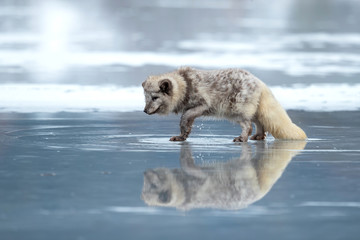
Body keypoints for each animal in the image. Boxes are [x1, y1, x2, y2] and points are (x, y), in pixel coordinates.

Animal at [142, 66, 306, 142]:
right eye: (146, 98)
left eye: (155, 97)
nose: (144, 111)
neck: (185, 84)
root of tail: (259, 82)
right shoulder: (194, 110)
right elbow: (186, 123)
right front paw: (182, 136)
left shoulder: (202, 105)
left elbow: (184, 117)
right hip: (252, 112)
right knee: (260, 124)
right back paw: (258, 137)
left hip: (237, 112)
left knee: (248, 126)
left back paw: (242, 138)